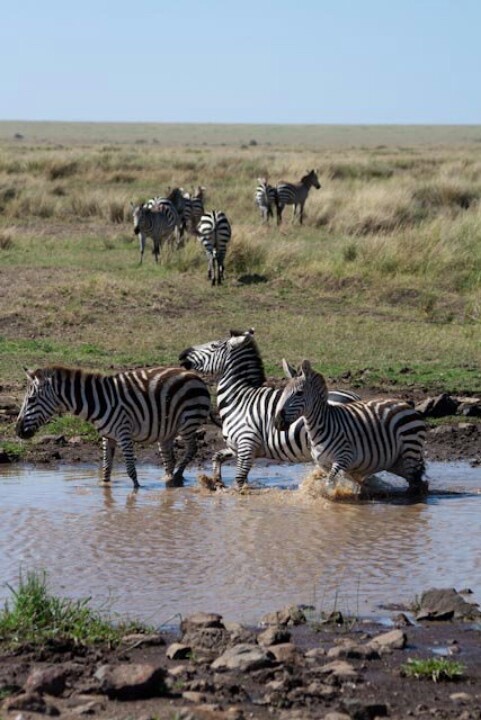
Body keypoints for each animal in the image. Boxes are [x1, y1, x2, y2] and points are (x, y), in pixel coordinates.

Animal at [16, 365, 211, 489]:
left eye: (31, 400)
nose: (17, 431)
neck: (98, 402)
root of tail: (195, 376)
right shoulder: (107, 436)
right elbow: (106, 468)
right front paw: (105, 487)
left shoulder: (124, 433)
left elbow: (130, 469)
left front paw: (137, 490)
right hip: (167, 431)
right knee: (169, 459)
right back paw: (169, 480)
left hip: (188, 421)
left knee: (192, 449)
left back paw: (176, 477)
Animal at [178, 329, 360, 488]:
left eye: (214, 345)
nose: (182, 354)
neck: (239, 399)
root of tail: (354, 396)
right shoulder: (236, 446)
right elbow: (217, 457)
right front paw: (217, 483)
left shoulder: (247, 444)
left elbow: (239, 480)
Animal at [274, 359, 427, 493]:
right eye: (283, 392)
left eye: (299, 393)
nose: (277, 422)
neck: (320, 427)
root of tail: (406, 405)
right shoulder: (323, 464)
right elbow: (340, 481)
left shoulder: (343, 458)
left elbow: (329, 483)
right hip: (395, 461)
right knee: (419, 480)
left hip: (409, 451)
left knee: (415, 482)